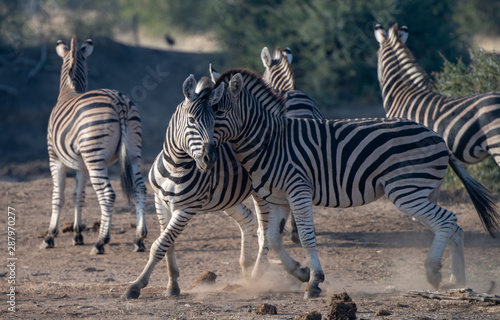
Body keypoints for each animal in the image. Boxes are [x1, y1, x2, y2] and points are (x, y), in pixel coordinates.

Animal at [43, 35, 146, 255]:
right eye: (89, 70)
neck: (69, 90)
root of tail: (119, 101)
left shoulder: (55, 158)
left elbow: (58, 196)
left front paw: (50, 236)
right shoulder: (81, 165)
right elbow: (78, 196)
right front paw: (77, 235)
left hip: (95, 157)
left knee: (108, 194)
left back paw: (101, 242)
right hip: (133, 153)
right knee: (140, 189)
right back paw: (139, 239)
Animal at [193, 69, 498, 298]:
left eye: (217, 111)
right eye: (198, 113)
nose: (207, 157)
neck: (271, 141)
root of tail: (439, 138)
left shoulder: (298, 190)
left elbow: (306, 235)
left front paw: (315, 281)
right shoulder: (279, 198)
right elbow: (273, 238)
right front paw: (299, 272)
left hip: (406, 191)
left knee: (447, 221)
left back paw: (433, 271)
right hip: (423, 192)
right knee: (453, 227)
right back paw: (456, 280)